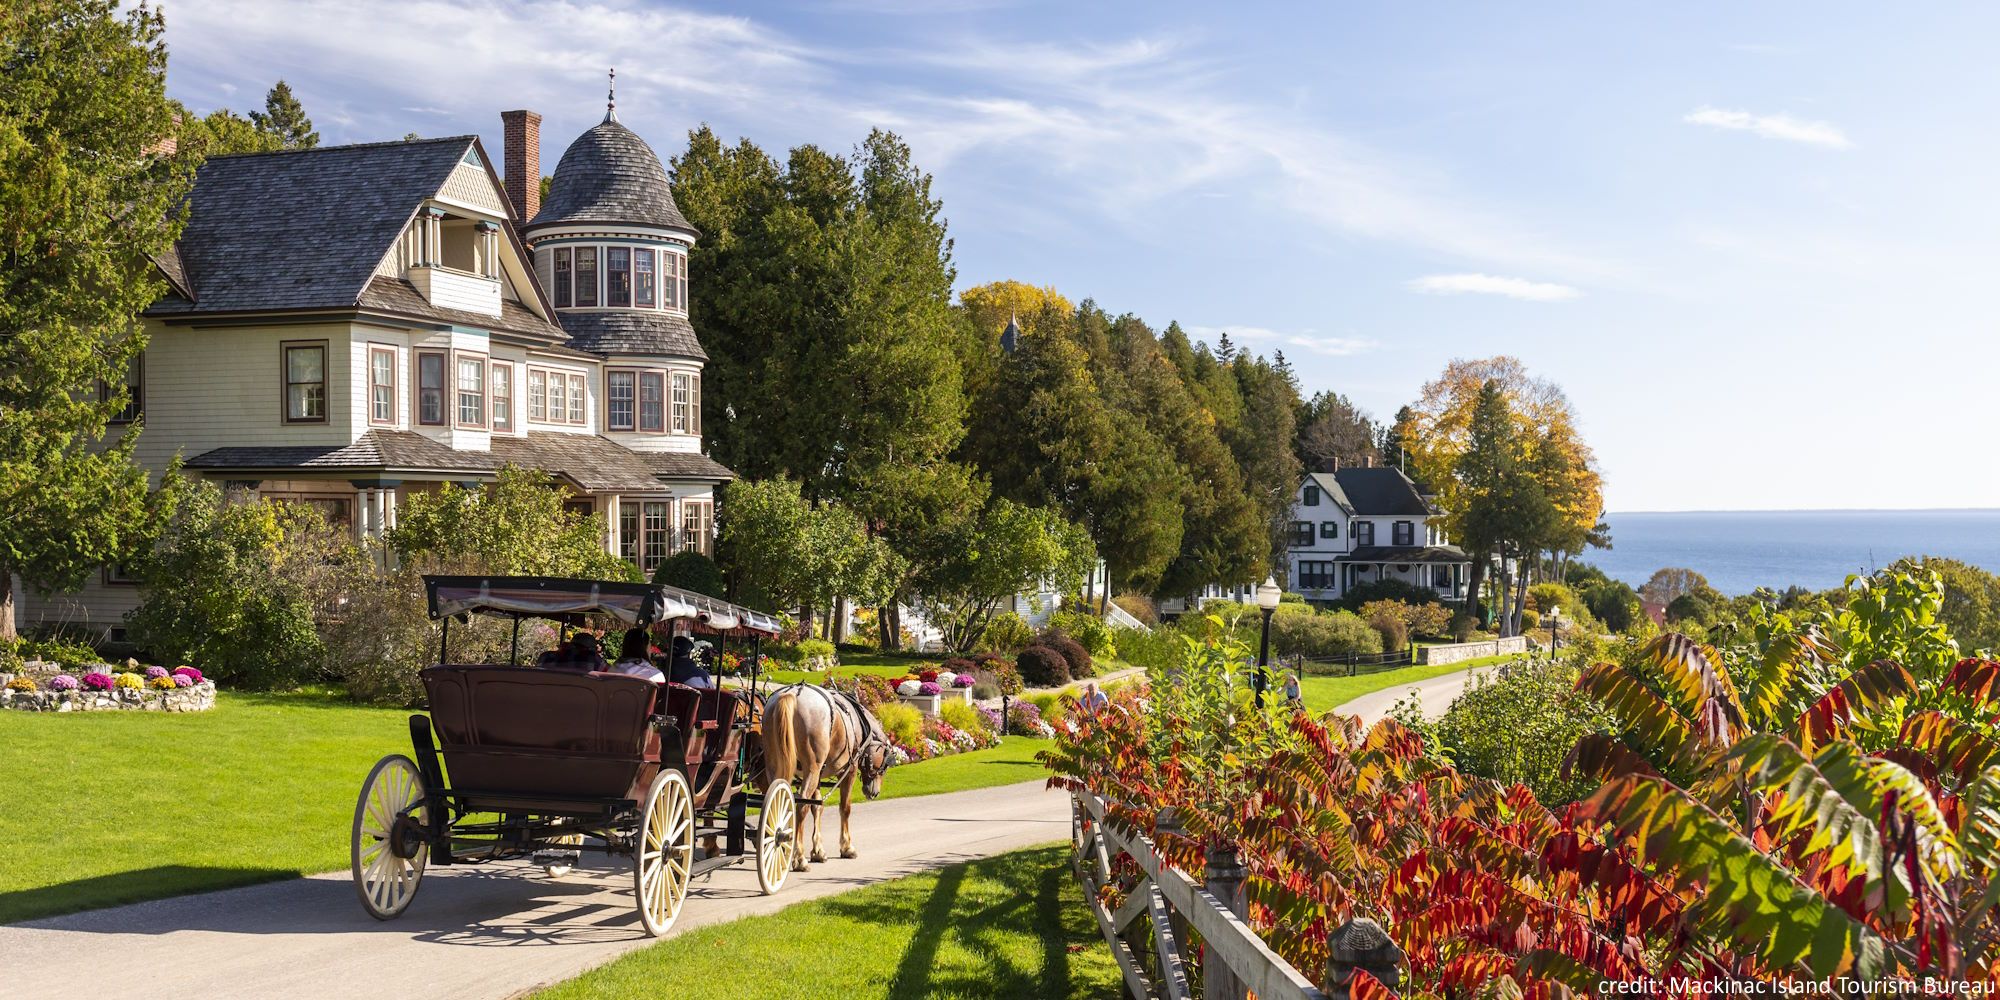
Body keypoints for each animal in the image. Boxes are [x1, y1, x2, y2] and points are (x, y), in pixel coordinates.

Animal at [756, 684, 892, 872]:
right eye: (885, 766)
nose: (875, 792)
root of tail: (794, 693)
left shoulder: (818, 776)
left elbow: (817, 807)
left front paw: (818, 851)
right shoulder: (848, 770)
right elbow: (845, 808)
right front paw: (847, 847)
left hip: (775, 765)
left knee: (776, 802)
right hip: (812, 768)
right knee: (801, 805)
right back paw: (798, 858)